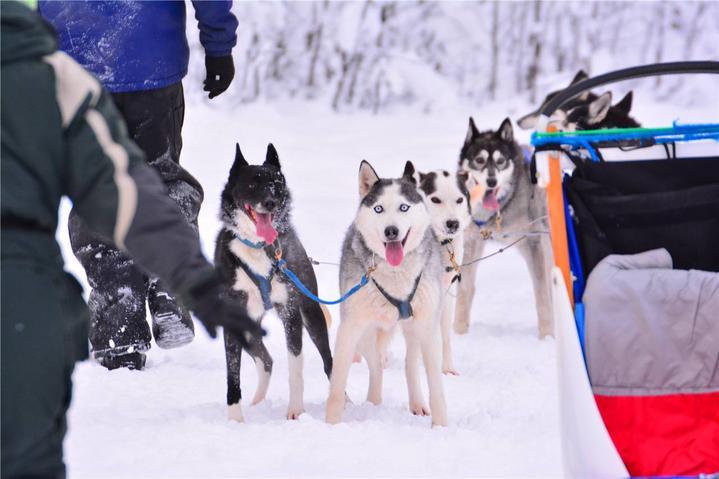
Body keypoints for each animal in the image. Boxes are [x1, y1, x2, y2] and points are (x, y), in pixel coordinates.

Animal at [215, 144, 334, 422]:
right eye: (251, 184)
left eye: (276, 184)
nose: (270, 202)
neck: (259, 247)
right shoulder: (233, 321)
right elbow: (232, 376)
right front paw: (235, 420)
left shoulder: (292, 314)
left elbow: (295, 367)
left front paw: (296, 411)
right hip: (250, 329)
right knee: (266, 360)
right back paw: (257, 402)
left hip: (312, 316)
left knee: (330, 363)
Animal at [328, 161, 450, 428]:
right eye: (379, 208)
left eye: (403, 207)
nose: (391, 231)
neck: (395, 275)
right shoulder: (350, 328)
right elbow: (337, 384)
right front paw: (330, 425)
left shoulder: (428, 328)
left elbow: (436, 386)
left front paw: (441, 427)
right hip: (364, 334)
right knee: (376, 363)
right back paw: (373, 402)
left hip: (415, 329)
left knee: (409, 364)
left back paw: (417, 404)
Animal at [458, 118, 556, 340]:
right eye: (479, 160)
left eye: (501, 161)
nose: (491, 181)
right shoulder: (472, 242)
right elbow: (465, 289)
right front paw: (458, 331)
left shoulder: (533, 242)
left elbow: (542, 294)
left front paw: (546, 335)